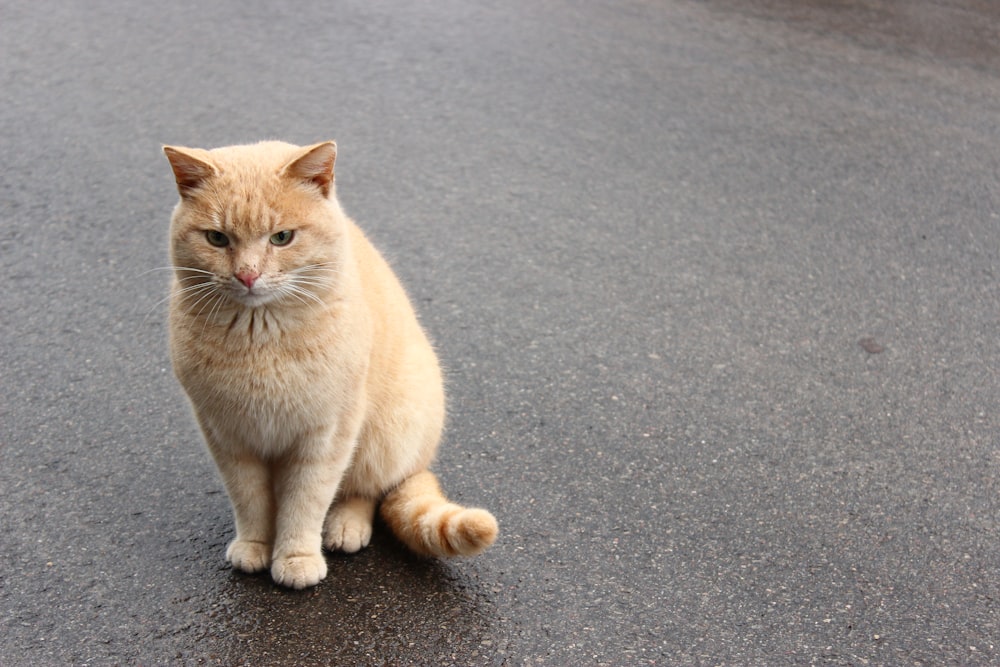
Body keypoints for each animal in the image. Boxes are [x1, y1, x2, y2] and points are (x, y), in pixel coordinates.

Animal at [163, 141, 500, 588]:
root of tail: (421, 462)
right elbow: (250, 499)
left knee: (366, 490)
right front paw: (255, 545)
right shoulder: (227, 435)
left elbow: (306, 500)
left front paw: (296, 556)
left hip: (385, 435)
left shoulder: (326, 434)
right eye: (217, 238)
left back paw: (345, 526)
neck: (259, 336)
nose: (247, 275)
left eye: (282, 237)